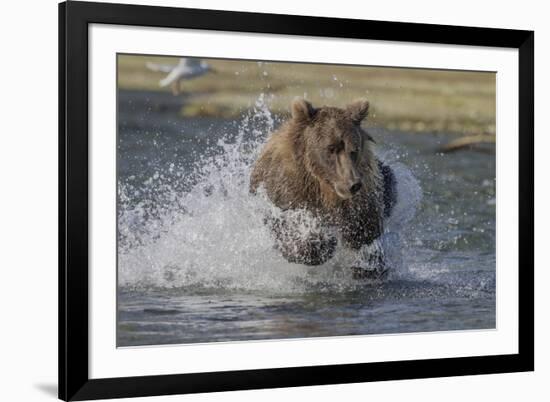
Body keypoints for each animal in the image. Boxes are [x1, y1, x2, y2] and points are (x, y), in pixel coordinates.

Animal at [250, 99, 396, 278]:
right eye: (331, 148)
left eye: (354, 149)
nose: (352, 184)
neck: (324, 188)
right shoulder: (288, 190)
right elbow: (285, 225)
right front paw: (321, 243)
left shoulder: (362, 199)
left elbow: (365, 233)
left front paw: (367, 264)